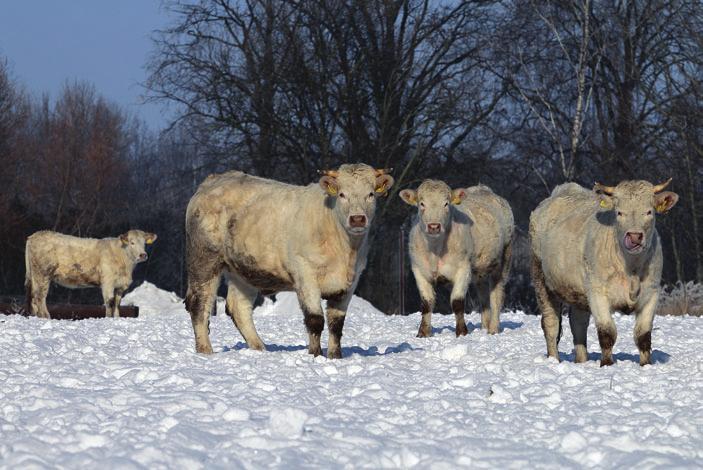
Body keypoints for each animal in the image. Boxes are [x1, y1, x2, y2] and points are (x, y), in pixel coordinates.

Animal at [25, 229, 157, 318]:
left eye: (144, 243)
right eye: (131, 242)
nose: (143, 255)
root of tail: (34, 235)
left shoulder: (120, 286)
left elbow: (117, 303)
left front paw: (116, 318)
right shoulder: (107, 282)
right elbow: (109, 302)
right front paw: (108, 318)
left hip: (36, 276)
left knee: (34, 296)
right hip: (42, 274)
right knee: (40, 296)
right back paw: (46, 316)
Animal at [186, 163, 396, 358]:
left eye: (370, 194)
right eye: (342, 194)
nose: (358, 219)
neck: (346, 251)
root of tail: (215, 180)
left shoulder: (350, 281)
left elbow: (336, 324)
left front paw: (335, 357)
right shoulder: (305, 274)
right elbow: (315, 319)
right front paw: (315, 355)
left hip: (243, 269)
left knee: (238, 307)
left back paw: (260, 348)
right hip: (205, 260)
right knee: (199, 304)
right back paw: (205, 350)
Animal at [402, 180, 516, 338]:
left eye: (446, 203)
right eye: (422, 203)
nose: (434, 226)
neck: (435, 250)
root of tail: (484, 189)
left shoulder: (463, 269)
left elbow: (457, 302)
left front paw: (462, 332)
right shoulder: (419, 270)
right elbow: (427, 303)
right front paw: (423, 333)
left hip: (504, 260)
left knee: (496, 296)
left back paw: (493, 329)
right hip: (480, 272)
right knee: (484, 298)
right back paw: (484, 327)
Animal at [532, 178, 680, 366]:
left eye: (649, 211)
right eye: (619, 212)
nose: (634, 237)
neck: (631, 269)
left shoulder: (652, 293)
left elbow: (643, 335)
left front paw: (646, 365)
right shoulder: (597, 293)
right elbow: (607, 332)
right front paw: (607, 364)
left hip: (579, 292)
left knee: (578, 323)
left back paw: (582, 361)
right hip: (541, 278)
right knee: (551, 323)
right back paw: (553, 359)